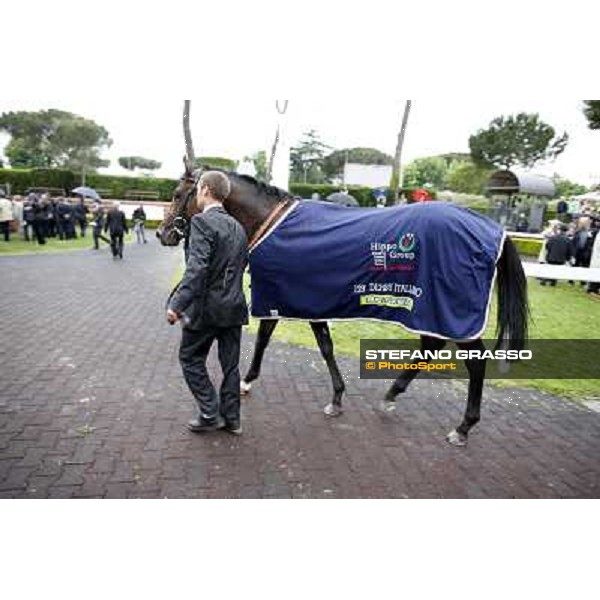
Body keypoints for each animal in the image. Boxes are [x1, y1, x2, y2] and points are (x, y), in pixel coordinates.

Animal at [157, 163, 528, 446]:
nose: (163, 233)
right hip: (429, 309)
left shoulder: (279, 296)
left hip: (451, 311)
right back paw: (391, 395)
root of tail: (493, 229)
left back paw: (462, 427)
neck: (270, 221)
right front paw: (336, 398)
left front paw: (247, 382)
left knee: (474, 362)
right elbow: (325, 346)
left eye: (176, 195)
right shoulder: (305, 302)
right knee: (430, 346)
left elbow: (266, 339)